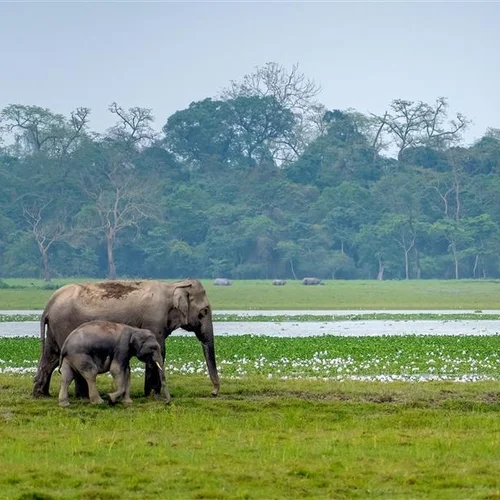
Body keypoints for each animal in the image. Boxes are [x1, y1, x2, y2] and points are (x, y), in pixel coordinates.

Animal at [31, 282, 219, 398]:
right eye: (204, 311)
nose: (213, 393)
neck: (173, 285)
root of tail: (48, 305)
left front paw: (150, 394)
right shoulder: (154, 320)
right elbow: (159, 350)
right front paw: (153, 395)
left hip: (55, 329)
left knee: (51, 358)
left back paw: (41, 395)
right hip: (65, 325)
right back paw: (81, 396)